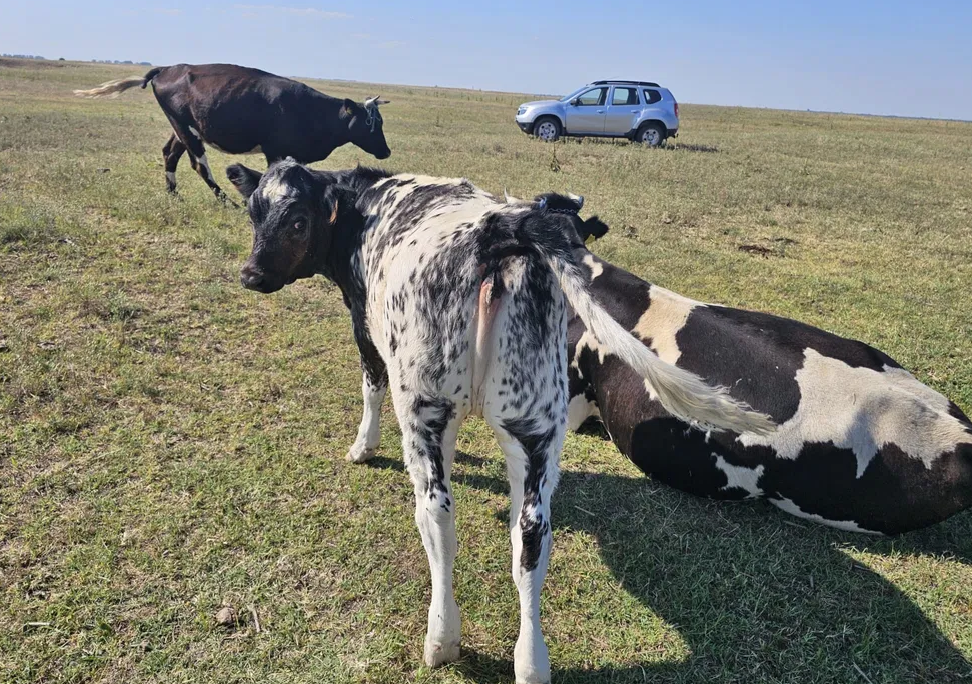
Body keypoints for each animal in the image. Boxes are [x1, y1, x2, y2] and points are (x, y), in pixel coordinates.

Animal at [73, 63, 391, 199]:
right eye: (370, 123)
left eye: (380, 122)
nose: (386, 151)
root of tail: (165, 69)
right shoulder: (275, 149)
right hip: (186, 129)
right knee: (197, 164)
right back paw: (223, 198)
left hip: (183, 127)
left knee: (169, 155)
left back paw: (173, 193)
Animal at [224, 159, 774, 683]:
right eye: (252, 212)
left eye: (298, 220)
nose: (250, 274)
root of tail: (501, 229)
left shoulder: (366, 329)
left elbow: (370, 388)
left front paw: (362, 447)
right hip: (536, 423)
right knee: (531, 534)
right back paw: (531, 663)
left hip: (426, 407)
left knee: (437, 514)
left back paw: (441, 640)